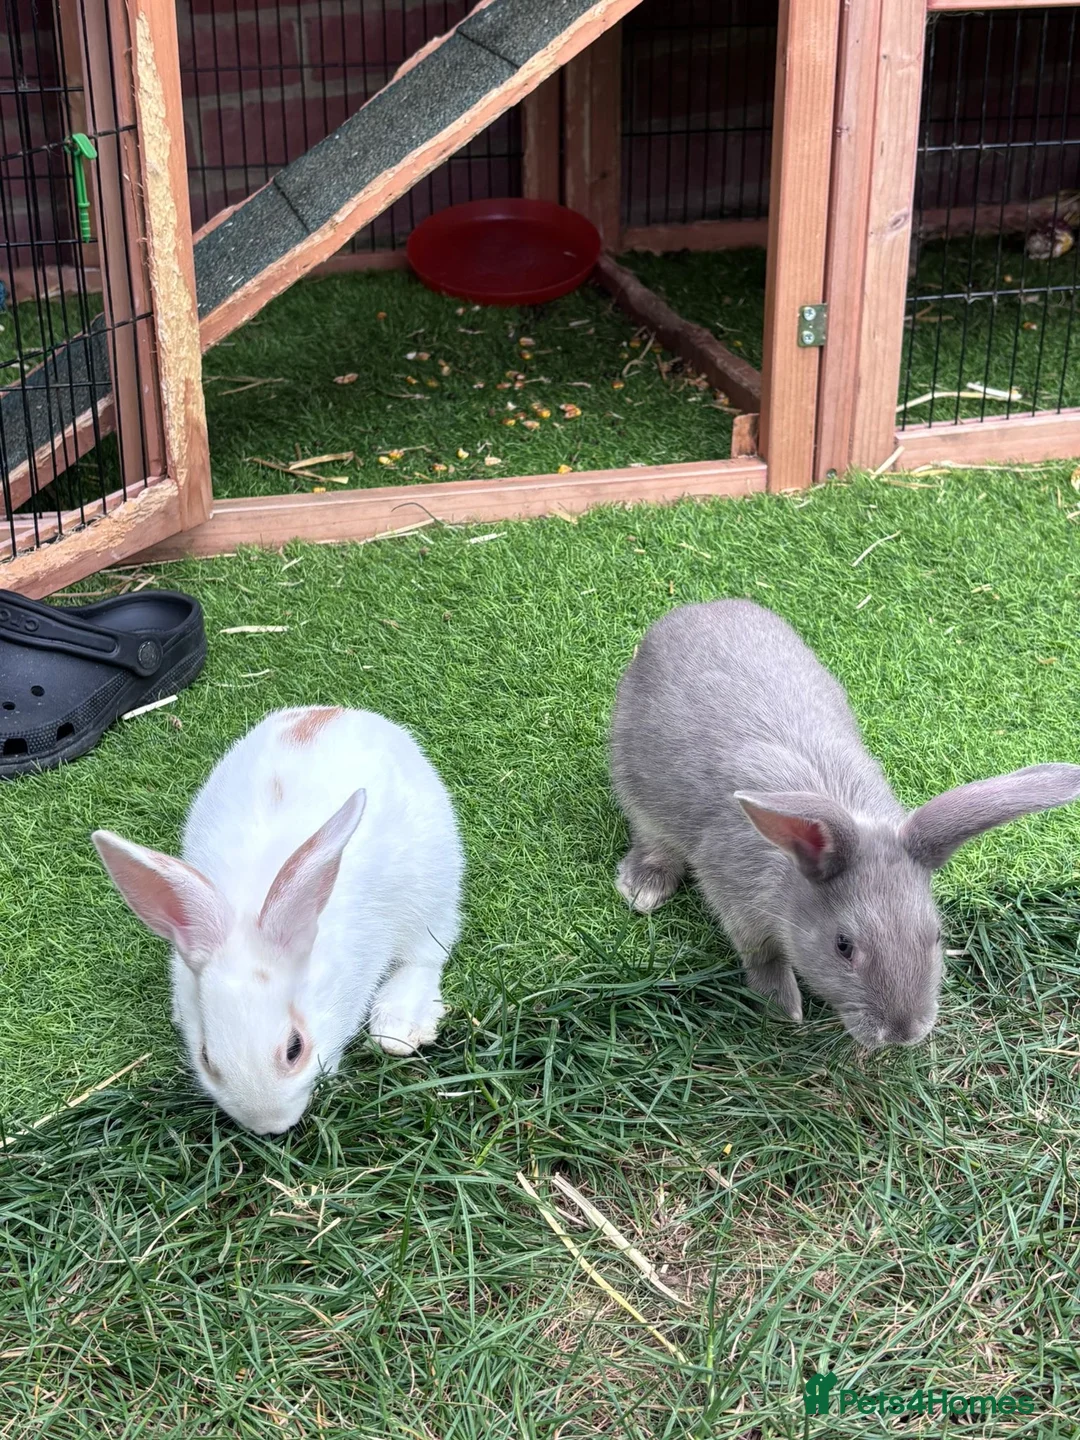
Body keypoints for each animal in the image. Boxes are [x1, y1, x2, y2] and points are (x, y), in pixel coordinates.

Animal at [92, 706, 463, 1134]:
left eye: (294, 1048)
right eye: (206, 1057)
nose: (270, 1126)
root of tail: (338, 711)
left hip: (433, 889)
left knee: (426, 955)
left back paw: (398, 1027)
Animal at [610, 600, 1080, 1049]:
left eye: (935, 935)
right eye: (843, 946)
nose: (902, 1034)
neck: (789, 879)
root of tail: (695, 610)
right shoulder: (736, 898)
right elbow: (762, 956)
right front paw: (784, 1008)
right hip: (633, 782)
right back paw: (644, 888)